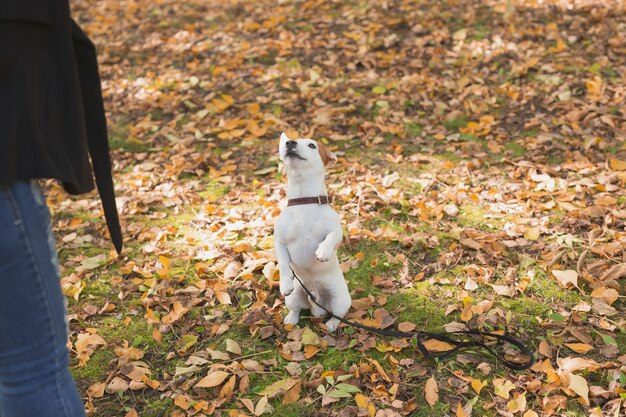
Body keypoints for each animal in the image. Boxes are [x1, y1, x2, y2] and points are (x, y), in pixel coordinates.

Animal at [272, 132, 352, 330]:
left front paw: (323, 251)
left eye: (312, 145)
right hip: (294, 298)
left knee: (338, 316)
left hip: (340, 299)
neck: (304, 201)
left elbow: (330, 237)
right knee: (296, 310)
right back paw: (291, 319)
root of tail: (316, 300)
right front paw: (284, 283)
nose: (289, 142)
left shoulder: (336, 231)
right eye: (287, 142)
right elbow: (283, 263)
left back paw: (331, 325)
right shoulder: (280, 242)